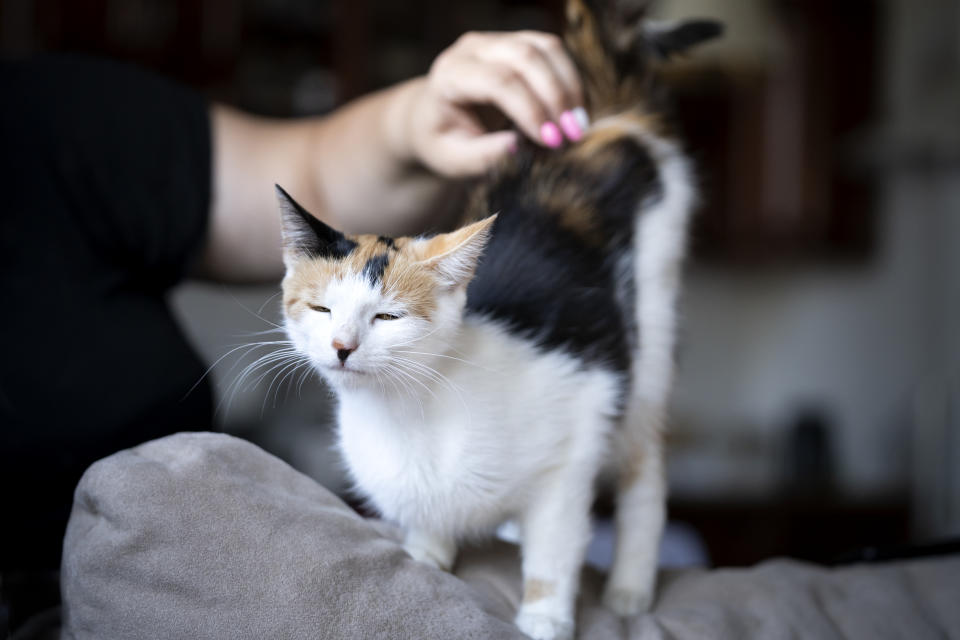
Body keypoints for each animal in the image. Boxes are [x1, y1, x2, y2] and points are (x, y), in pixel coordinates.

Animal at [274, 2, 716, 636]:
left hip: (650, 328)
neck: (405, 413)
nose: (341, 345)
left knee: (645, 466)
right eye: (321, 308)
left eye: (387, 316)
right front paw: (428, 555)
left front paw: (543, 618)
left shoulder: (573, 440)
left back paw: (631, 586)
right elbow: (430, 531)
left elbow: (554, 547)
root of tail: (603, 122)